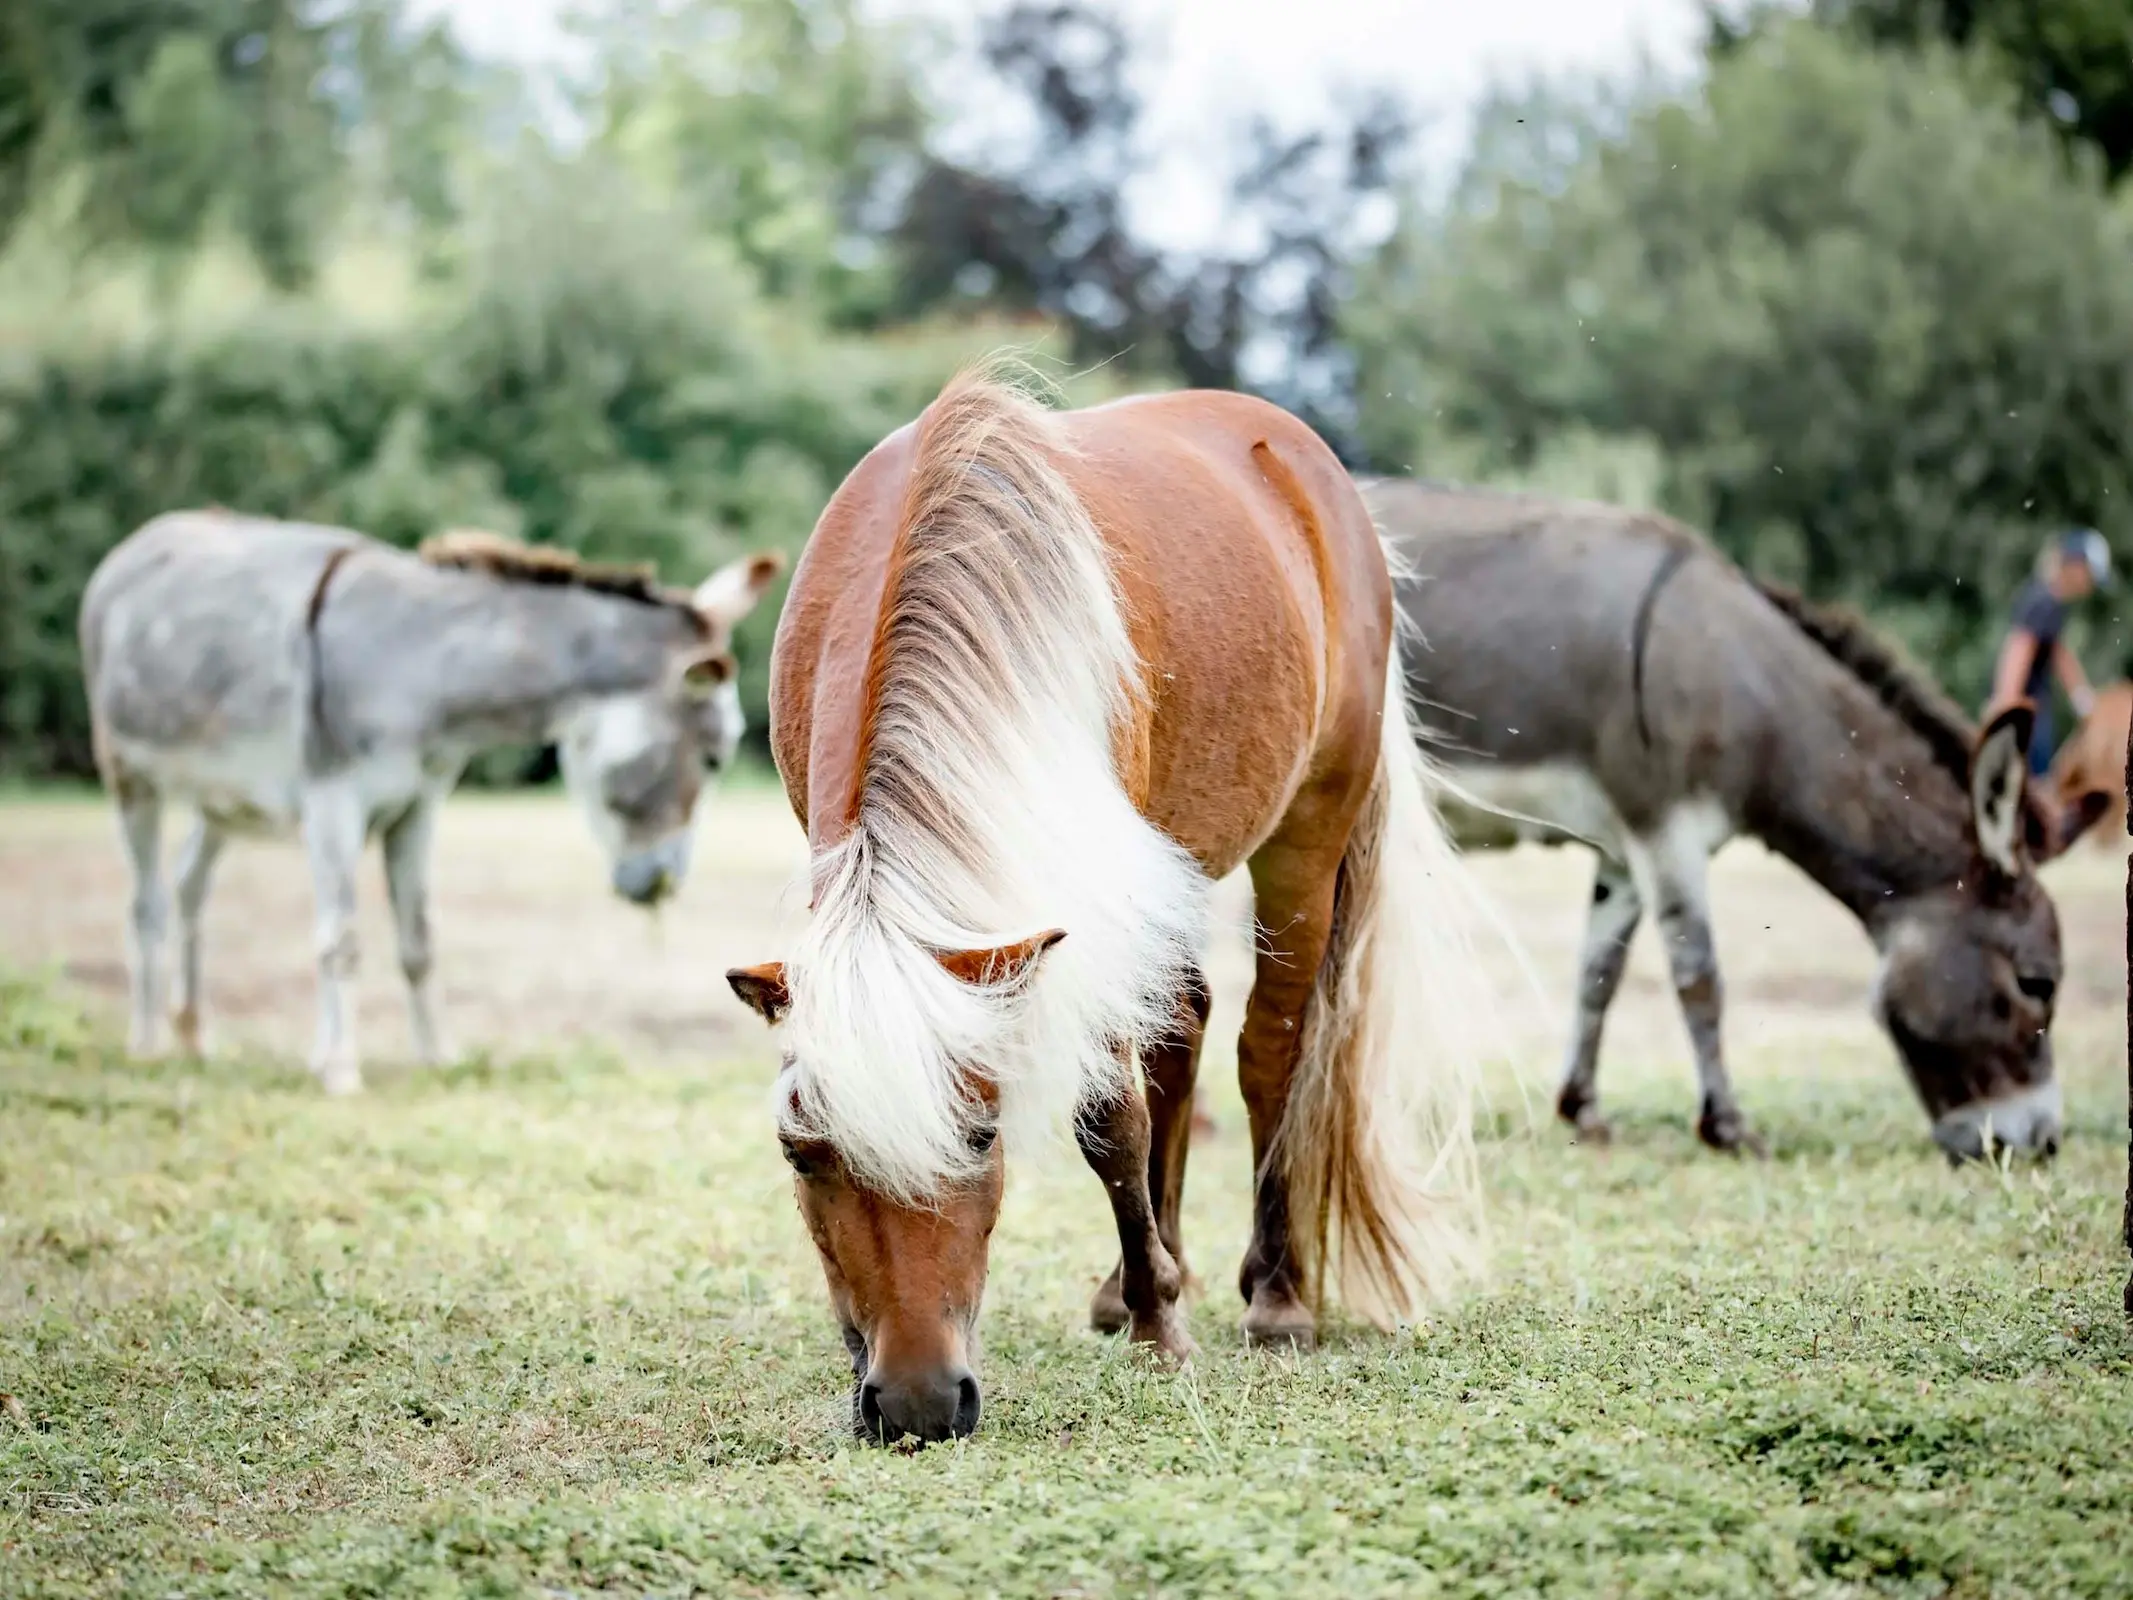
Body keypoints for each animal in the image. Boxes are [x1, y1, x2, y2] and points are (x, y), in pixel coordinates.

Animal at [85, 514, 784, 1092]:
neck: (423, 670)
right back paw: (147, 1043)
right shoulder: (332, 802)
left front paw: (437, 1059)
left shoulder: (417, 807)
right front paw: (339, 1069)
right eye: (715, 756)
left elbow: (420, 939)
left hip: (221, 801)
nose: (663, 885)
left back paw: (192, 1034)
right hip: (129, 774)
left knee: (189, 888)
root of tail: (136, 543)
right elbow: (340, 938)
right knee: (147, 903)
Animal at [725, 369, 1476, 1450]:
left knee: (1272, 1049)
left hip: (1306, 830)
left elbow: (1107, 1117)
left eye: (982, 1135)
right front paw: (1148, 1290)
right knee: (1181, 1032)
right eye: (800, 1150)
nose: (915, 1404)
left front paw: (1166, 1329)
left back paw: (1274, 1294)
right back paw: (1139, 1277)